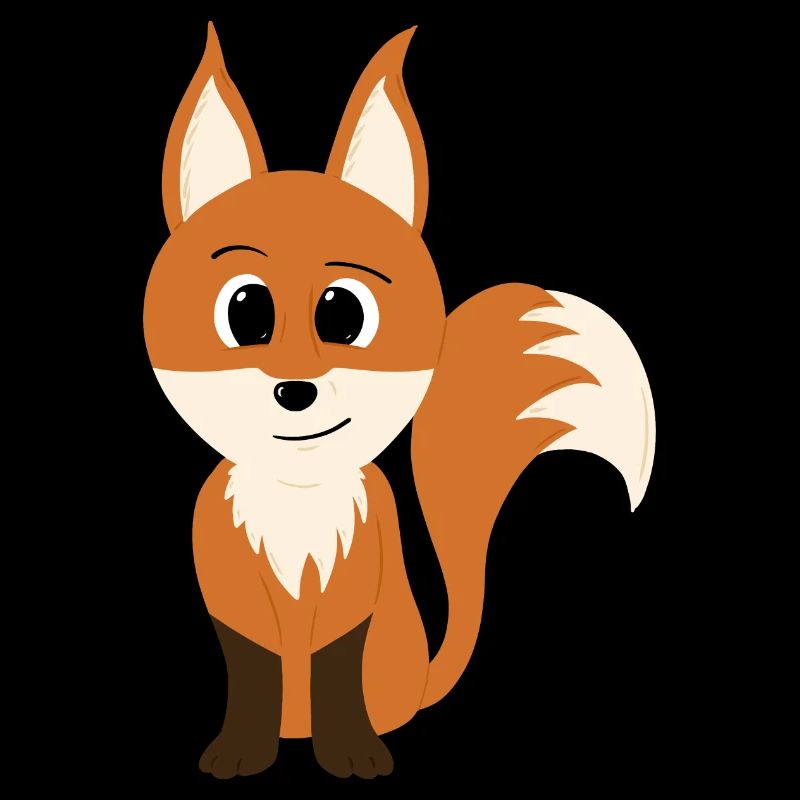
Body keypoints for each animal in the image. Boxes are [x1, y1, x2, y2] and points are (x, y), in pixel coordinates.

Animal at [144, 23, 655, 779]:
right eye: (245, 311)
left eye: (343, 313)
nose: (294, 391)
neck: (297, 495)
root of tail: (421, 683)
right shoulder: (225, 573)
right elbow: (254, 666)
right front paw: (240, 751)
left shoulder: (364, 572)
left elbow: (336, 663)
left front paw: (351, 752)